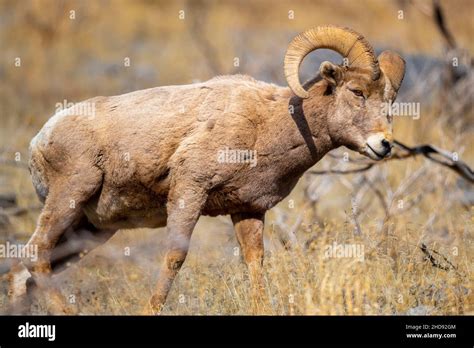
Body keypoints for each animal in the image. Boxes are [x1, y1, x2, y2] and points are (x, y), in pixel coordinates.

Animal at [7, 24, 406, 312]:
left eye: (389, 100)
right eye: (356, 92)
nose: (384, 145)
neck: (268, 124)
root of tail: (42, 137)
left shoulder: (248, 211)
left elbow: (255, 264)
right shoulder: (189, 192)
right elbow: (175, 257)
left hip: (90, 229)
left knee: (23, 273)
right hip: (69, 198)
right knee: (34, 256)